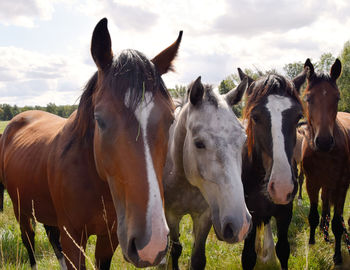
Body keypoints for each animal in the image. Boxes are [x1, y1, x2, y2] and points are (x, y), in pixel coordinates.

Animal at [0, 17, 182, 268]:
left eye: (171, 119)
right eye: (100, 119)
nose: (151, 243)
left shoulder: (109, 238)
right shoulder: (73, 238)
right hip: (22, 211)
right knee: (29, 242)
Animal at [161, 76, 252, 270]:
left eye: (244, 140)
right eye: (199, 143)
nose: (240, 225)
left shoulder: (206, 215)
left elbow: (198, 258)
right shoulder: (171, 215)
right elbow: (175, 250)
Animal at [238, 69, 306, 270]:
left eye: (298, 117)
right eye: (255, 117)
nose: (282, 187)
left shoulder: (284, 213)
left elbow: (283, 249)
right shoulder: (251, 215)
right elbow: (248, 257)